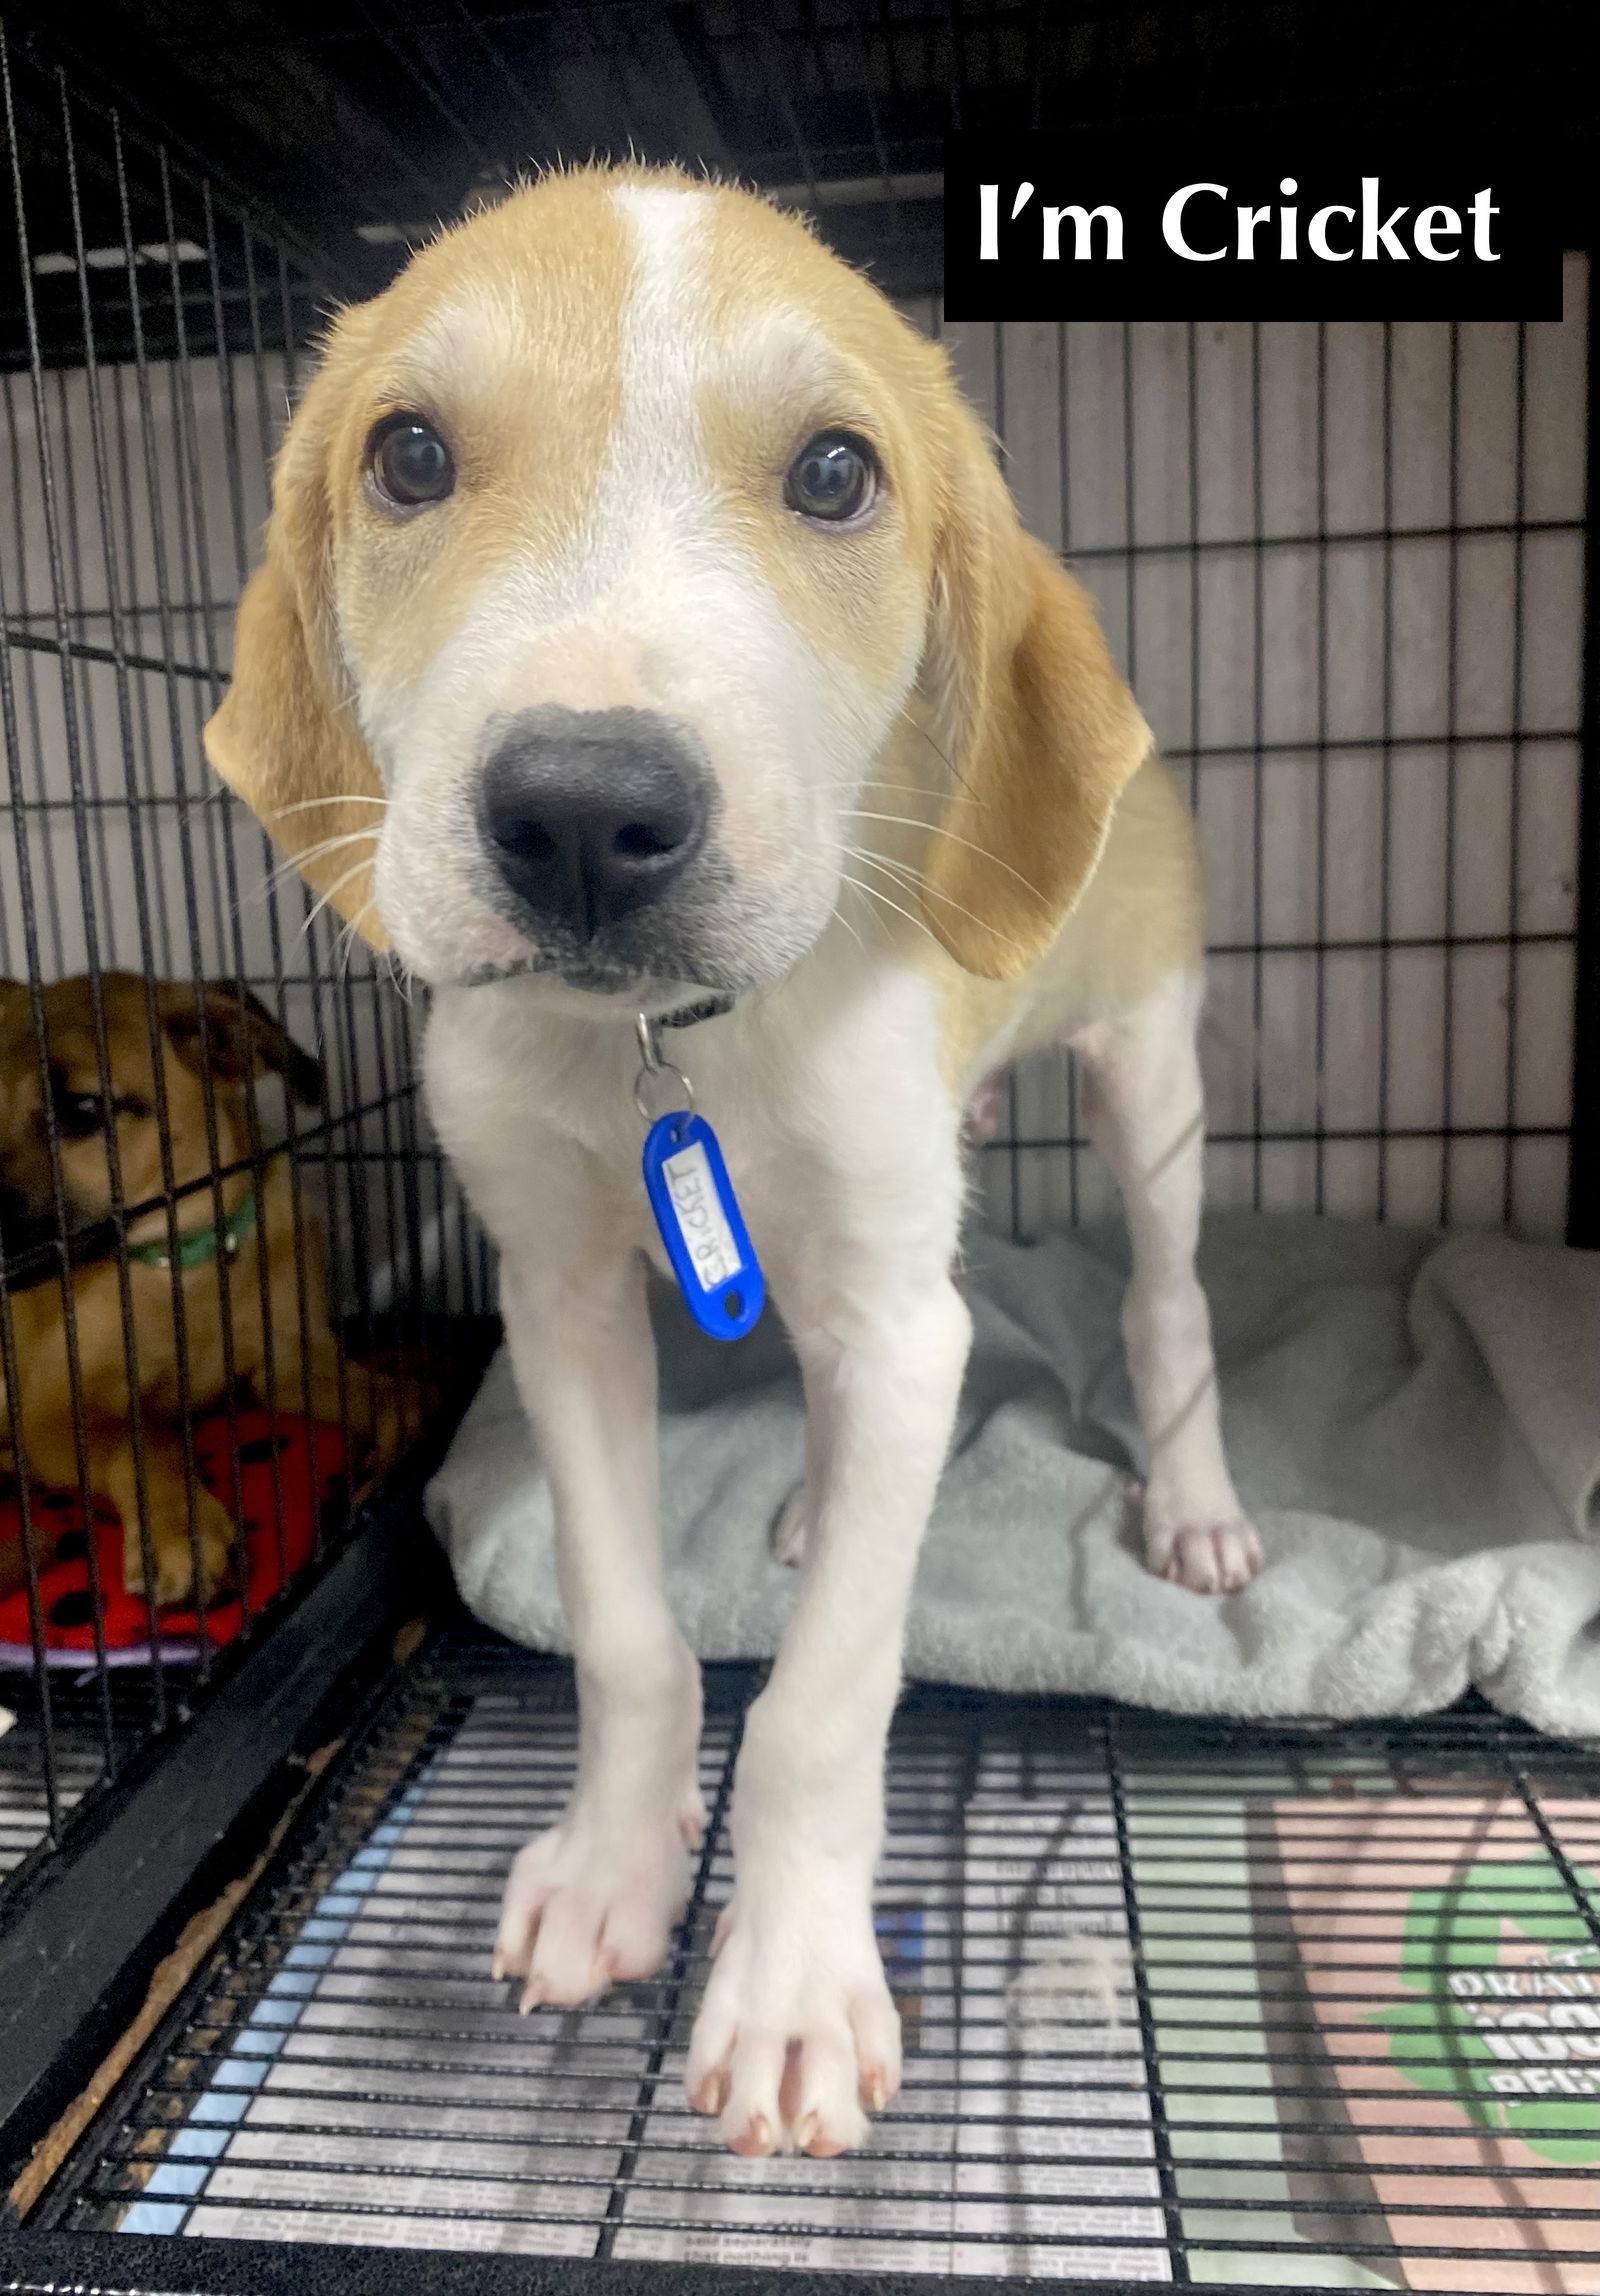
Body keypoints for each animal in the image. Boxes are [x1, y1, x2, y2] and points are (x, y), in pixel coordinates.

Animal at [0, 978, 397, 1607]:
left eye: (84, 1109)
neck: (187, 1262)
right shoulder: (50, 1412)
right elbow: (144, 1437)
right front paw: (181, 1530)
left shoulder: (288, 1360)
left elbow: (395, 1392)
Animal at [208, 169, 1257, 2158]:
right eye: (406, 454)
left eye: (838, 474)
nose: (580, 812)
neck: (668, 1052)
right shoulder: (560, 1300)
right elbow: (628, 1640)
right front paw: (615, 1870)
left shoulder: (894, 1303)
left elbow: (826, 1702)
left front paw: (785, 1986)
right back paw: (804, 1510)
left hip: (1149, 1073)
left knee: (1167, 1301)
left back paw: (1194, 1505)